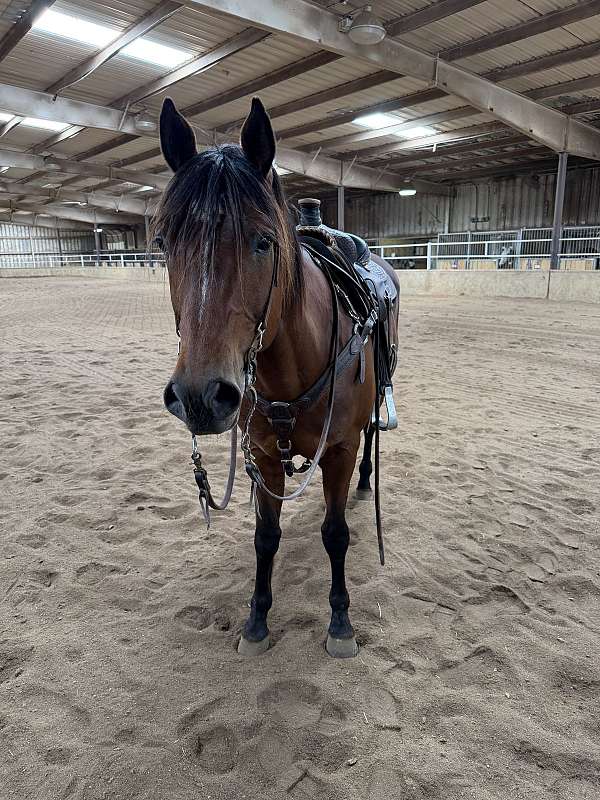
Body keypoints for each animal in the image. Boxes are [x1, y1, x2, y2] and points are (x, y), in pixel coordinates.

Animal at [154, 96, 399, 658]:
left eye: (263, 242)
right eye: (162, 242)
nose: (199, 396)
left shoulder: (338, 450)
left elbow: (335, 534)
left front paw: (340, 622)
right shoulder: (262, 455)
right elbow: (266, 537)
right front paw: (257, 619)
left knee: (372, 437)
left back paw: (366, 482)